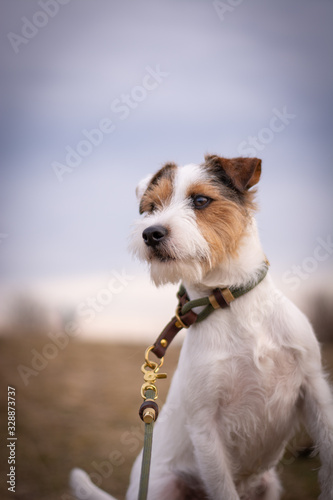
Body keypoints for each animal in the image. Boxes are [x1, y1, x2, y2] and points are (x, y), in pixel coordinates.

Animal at [70, 156, 332, 500]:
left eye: (200, 201)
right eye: (152, 207)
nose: (151, 233)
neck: (233, 305)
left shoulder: (314, 388)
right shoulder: (205, 426)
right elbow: (222, 487)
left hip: (268, 485)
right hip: (165, 486)